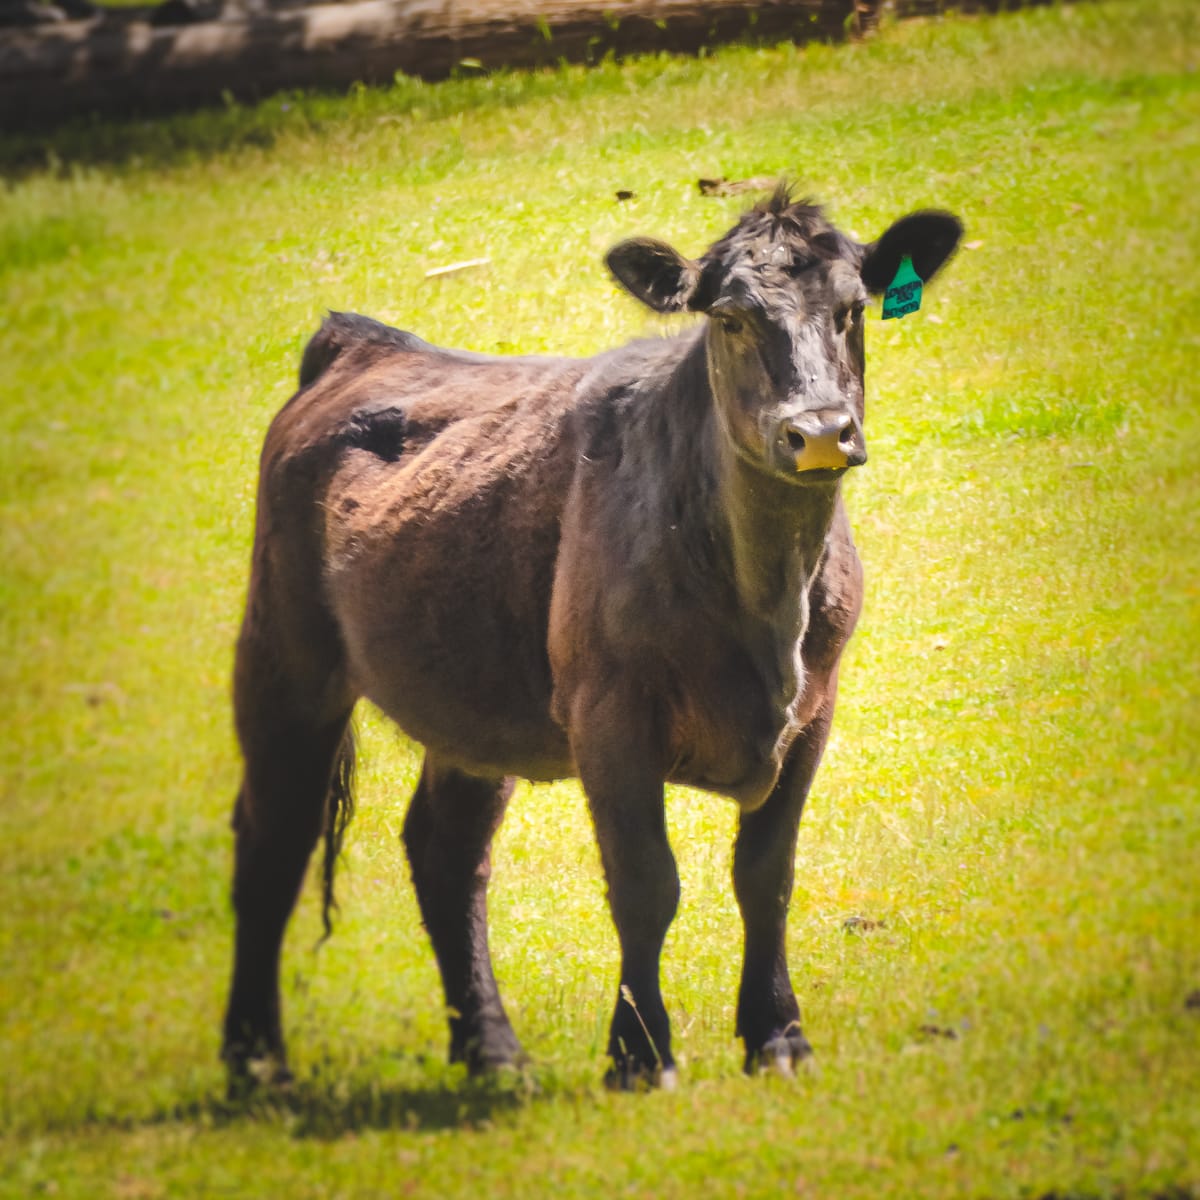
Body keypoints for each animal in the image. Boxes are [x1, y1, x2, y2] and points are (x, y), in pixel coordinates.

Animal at [223, 184, 955, 1089]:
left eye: (854, 310)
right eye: (730, 318)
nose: (819, 430)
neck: (767, 594)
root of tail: (362, 340)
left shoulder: (815, 710)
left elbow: (766, 877)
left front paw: (778, 1036)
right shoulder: (611, 713)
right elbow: (646, 885)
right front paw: (639, 1055)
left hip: (471, 696)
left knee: (445, 849)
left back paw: (493, 1051)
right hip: (285, 657)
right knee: (273, 839)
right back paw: (255, 1058)